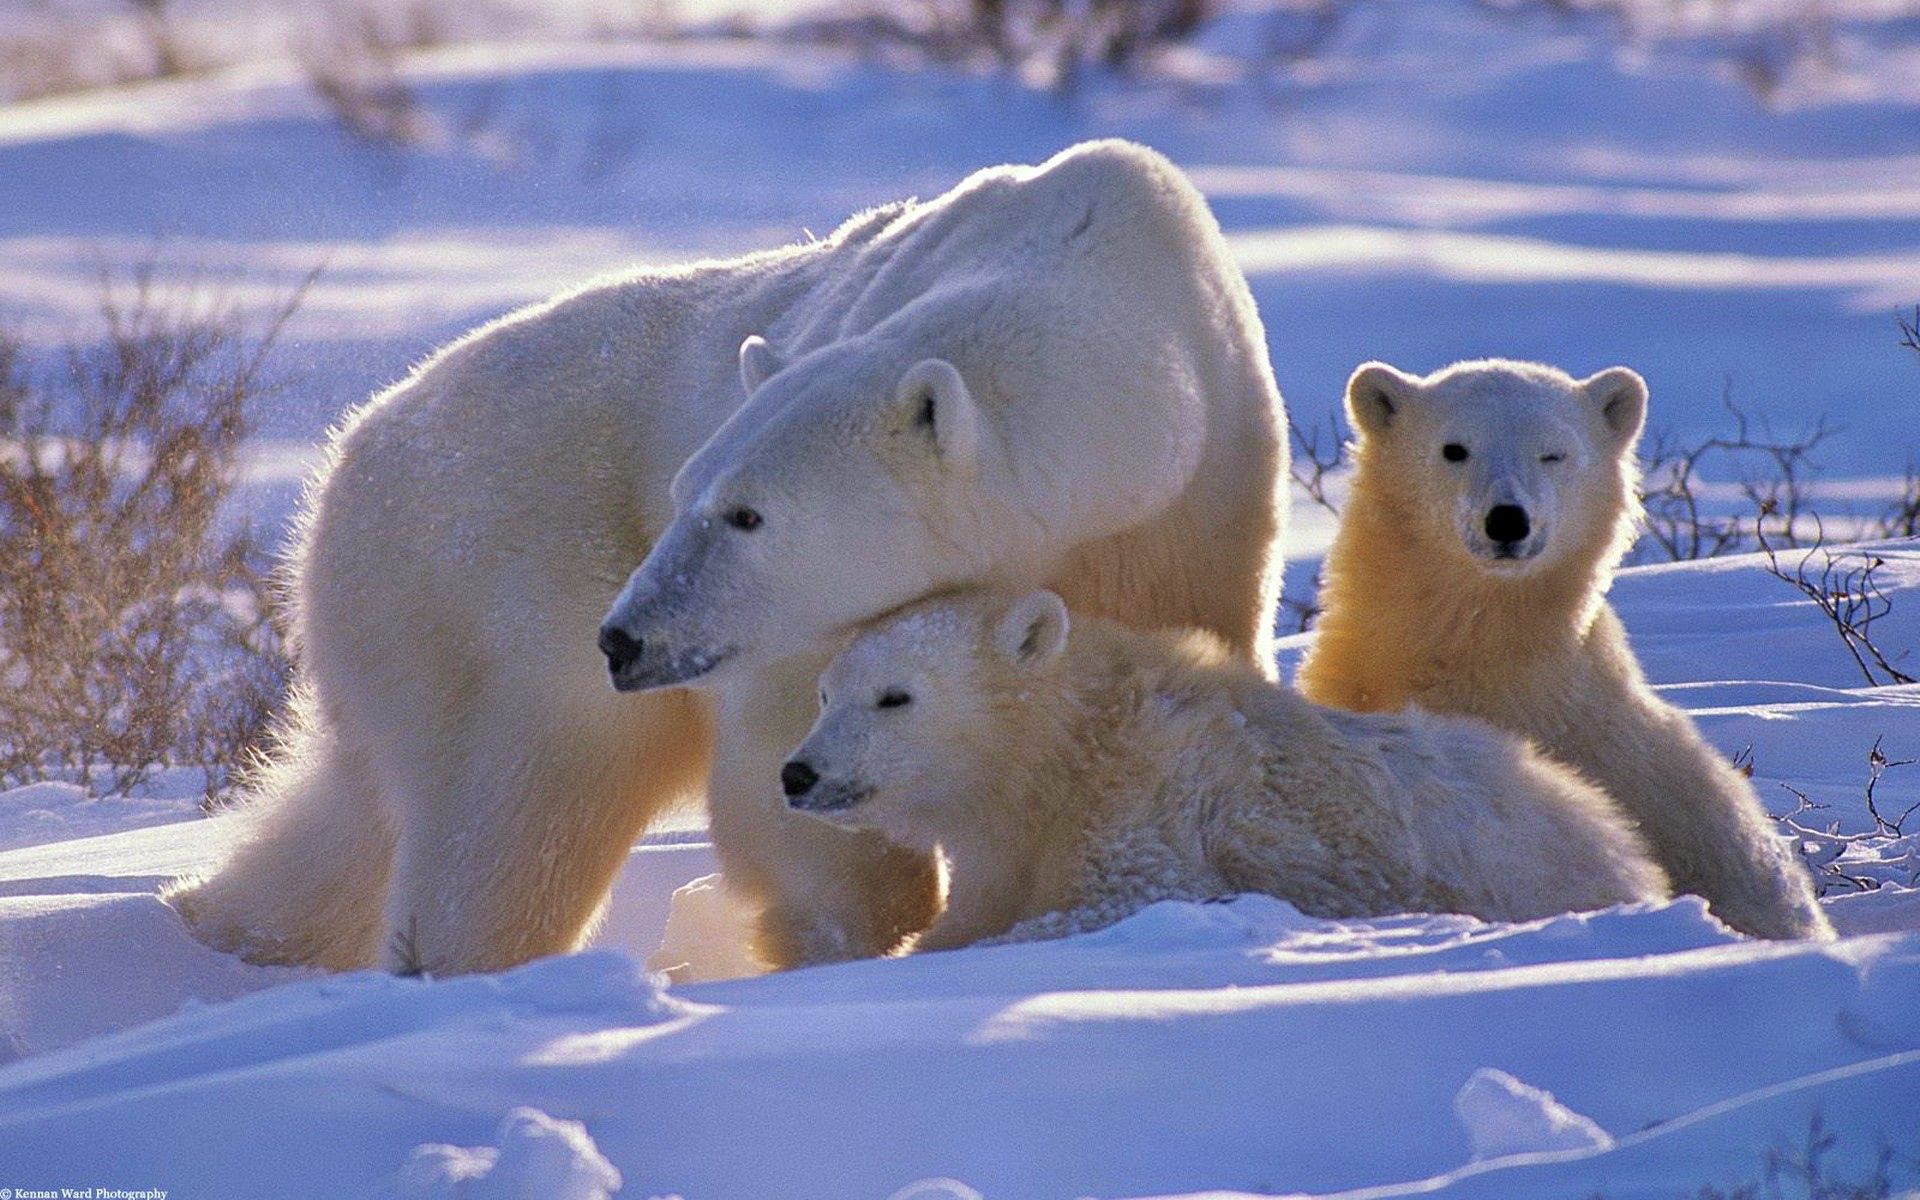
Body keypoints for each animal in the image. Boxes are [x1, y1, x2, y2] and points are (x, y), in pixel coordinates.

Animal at [172, 138, 1290, 975]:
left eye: (746, 514)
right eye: (686, 492)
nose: (625, 638)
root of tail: (348, 454)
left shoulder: (1195, 511)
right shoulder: (799, 629)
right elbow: (788, 760)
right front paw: (853, 937)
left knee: (354, 808)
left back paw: (215, 922)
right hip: (489, 570)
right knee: (526, 800)